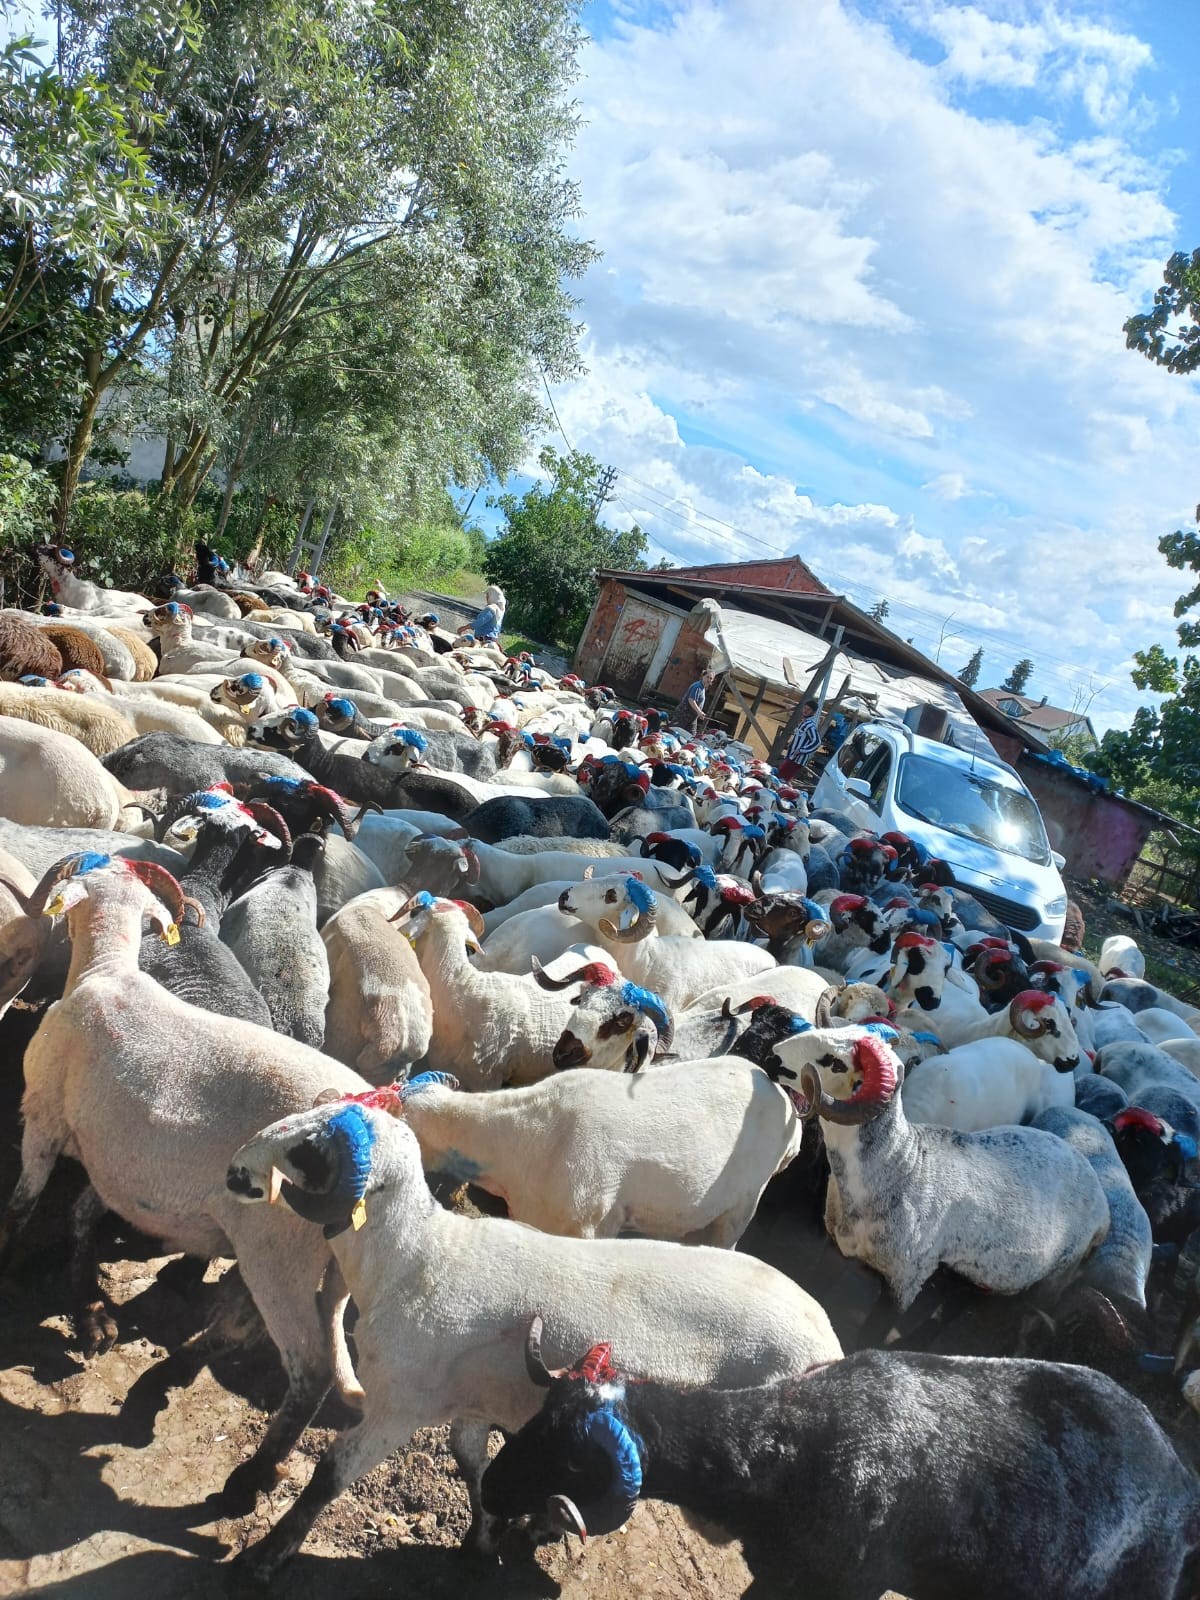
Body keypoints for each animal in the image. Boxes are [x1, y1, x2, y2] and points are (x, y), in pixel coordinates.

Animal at [0, 851, 371, 1497]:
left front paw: (8, 1273)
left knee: (311, 1368)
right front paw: (89, 1311)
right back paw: (168, 1378)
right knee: (250, 1327)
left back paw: (254, 1476)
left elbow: (22, 1206)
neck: (106, 969)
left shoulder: (42, 1118)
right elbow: (80, 1215)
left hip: (279, 1248)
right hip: (319, 1260)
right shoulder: (116, 1157)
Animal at [225, 1088, 844, 1574]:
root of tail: (829, 1341)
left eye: (308, 1149)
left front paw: (268, 1556)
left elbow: (330, 1474)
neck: (417, 1259)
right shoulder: (468, 1400)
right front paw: (481, 1539)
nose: (235, 1172)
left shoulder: (400, 1407)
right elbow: (472, 1466)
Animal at [774, 1024, 1113, 1312]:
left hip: (1057, 1274)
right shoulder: (836, 1249)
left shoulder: (906, 1279)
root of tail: (1101, 1202)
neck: (902, 1165)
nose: (774, 1055)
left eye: (835, 1062)